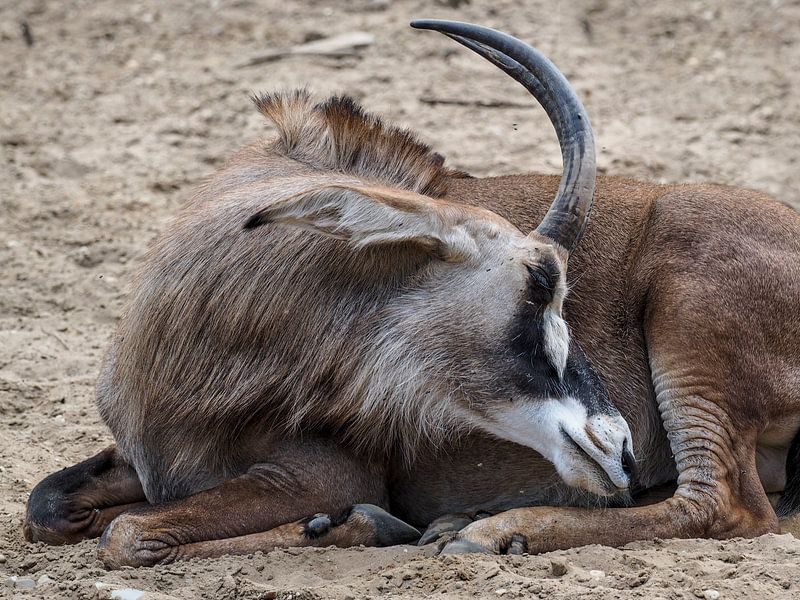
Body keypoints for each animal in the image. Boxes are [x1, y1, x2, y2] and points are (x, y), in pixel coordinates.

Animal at [24, 20, 800, 566]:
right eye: (539, 284)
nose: (620, 450)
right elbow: (48, 507)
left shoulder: (323, 474)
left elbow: (128, 535)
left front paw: (361, 526)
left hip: (689, 320)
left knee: (725, 505)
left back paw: (498, 530)